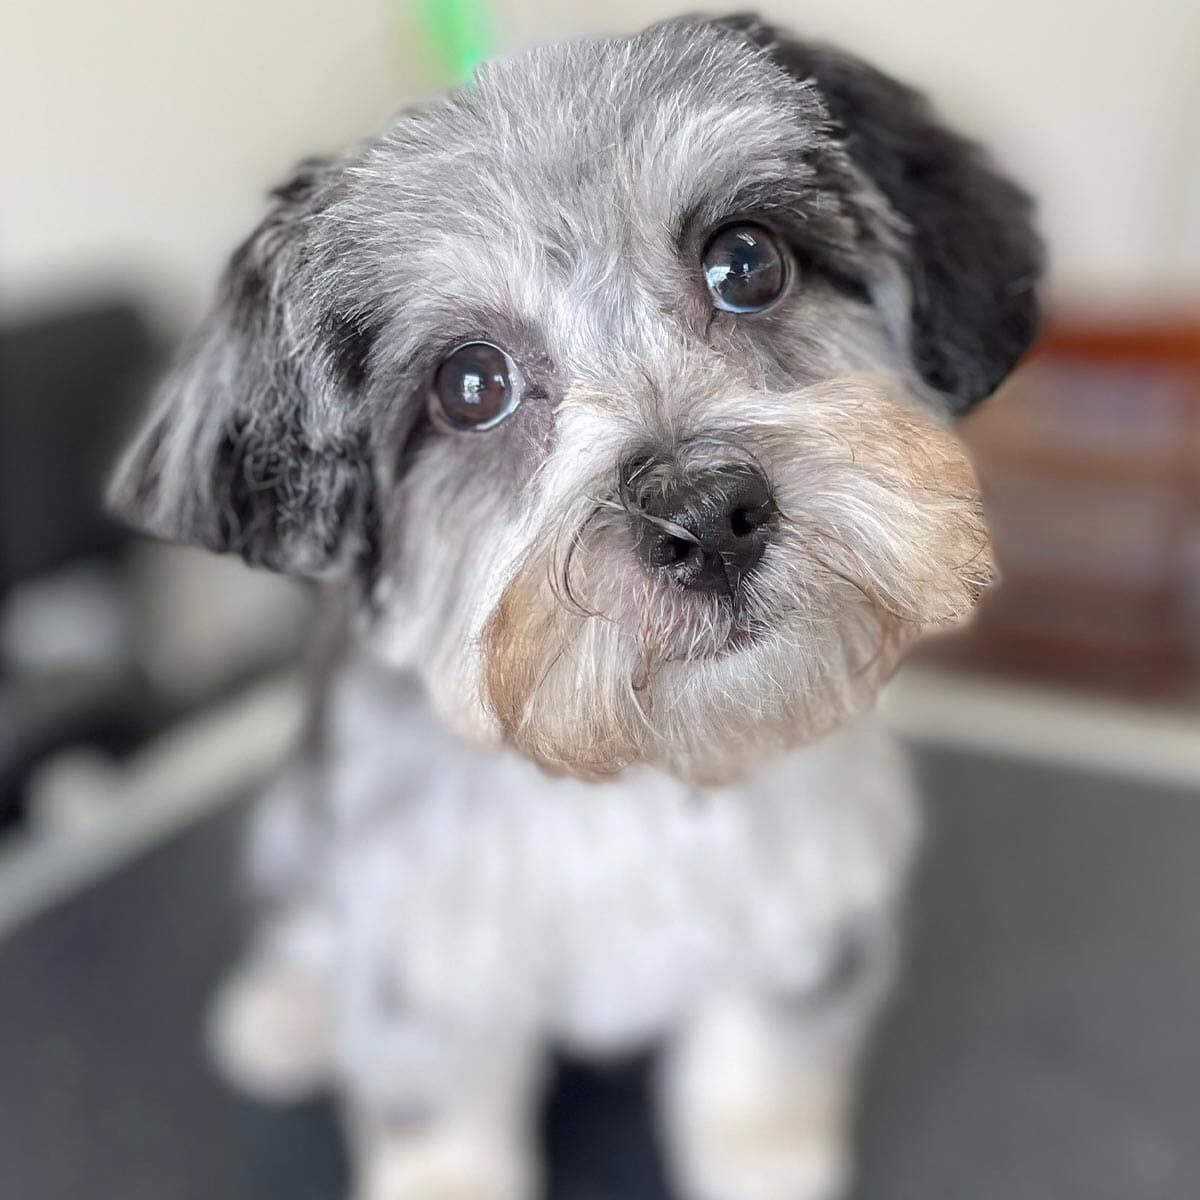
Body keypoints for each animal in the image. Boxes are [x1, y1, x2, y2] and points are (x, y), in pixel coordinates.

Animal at [108, 14, 1041, 1195]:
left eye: (748, 261)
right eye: (471, 385)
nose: (707, 515)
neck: (633, 775)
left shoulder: (807, 909)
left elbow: (760, 1077)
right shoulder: (424, 953)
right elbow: (438, 1124)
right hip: (293, 826)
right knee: (294, 922)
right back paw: (283, 1011)